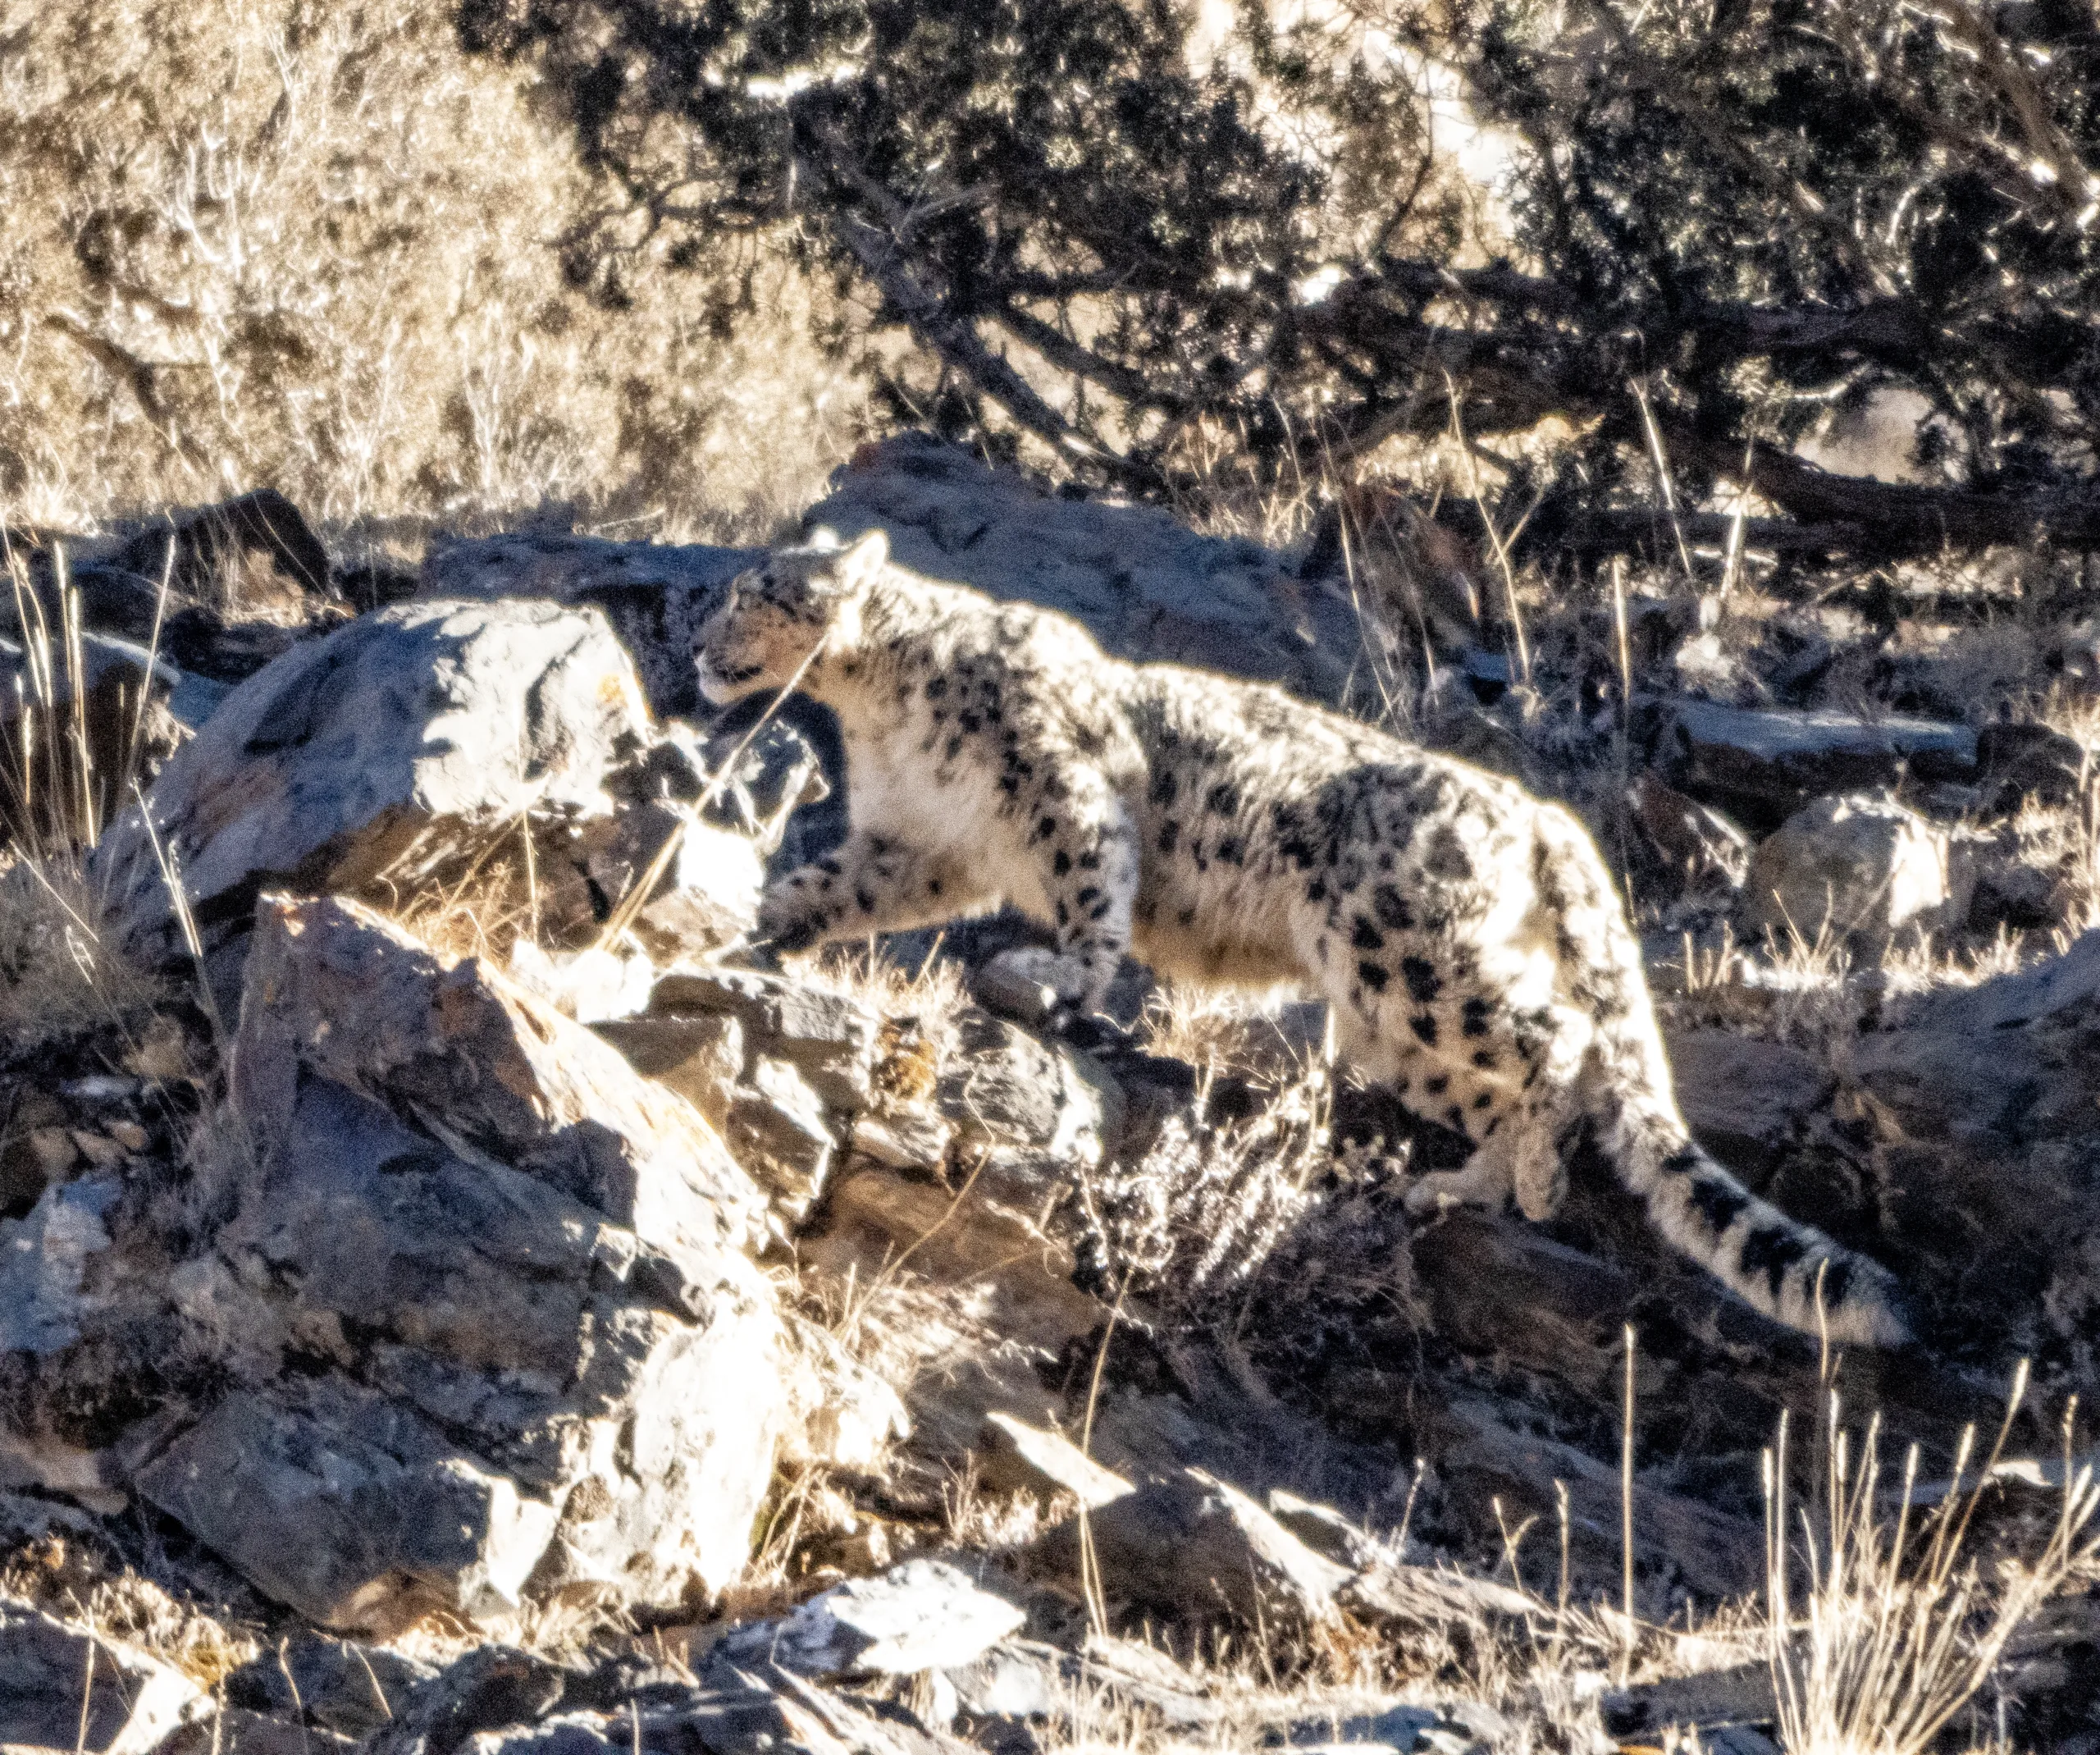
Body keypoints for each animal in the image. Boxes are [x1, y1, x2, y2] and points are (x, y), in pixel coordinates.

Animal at [693, 527, 1911, 1347]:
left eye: (755, 591)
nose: (699, 643)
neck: (875, 707)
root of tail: (1538, 814)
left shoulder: (1072, 792)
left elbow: (1093, 900)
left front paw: (1048, 976)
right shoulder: (913, 846)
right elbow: (822, 886)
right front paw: (752, 924)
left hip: (1409, 955)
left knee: (1559, 1041)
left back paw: (1530, 1181)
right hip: (1387, 1016)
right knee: (1499, 1076)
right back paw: (1457, 1187)